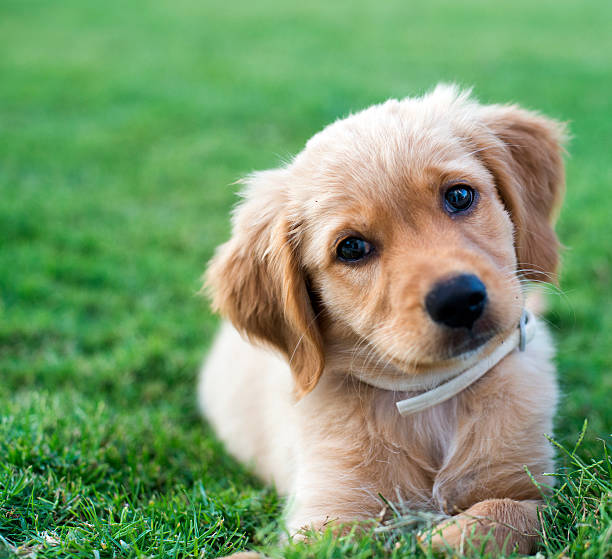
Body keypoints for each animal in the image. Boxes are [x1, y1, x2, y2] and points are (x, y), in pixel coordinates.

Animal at [198, 86, 568, 556]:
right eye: (352, 248)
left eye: (460, 196)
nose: (458, 300)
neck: (430, 396)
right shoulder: (326, 515)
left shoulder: (532, 489)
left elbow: (505, 516)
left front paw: (434, 537)